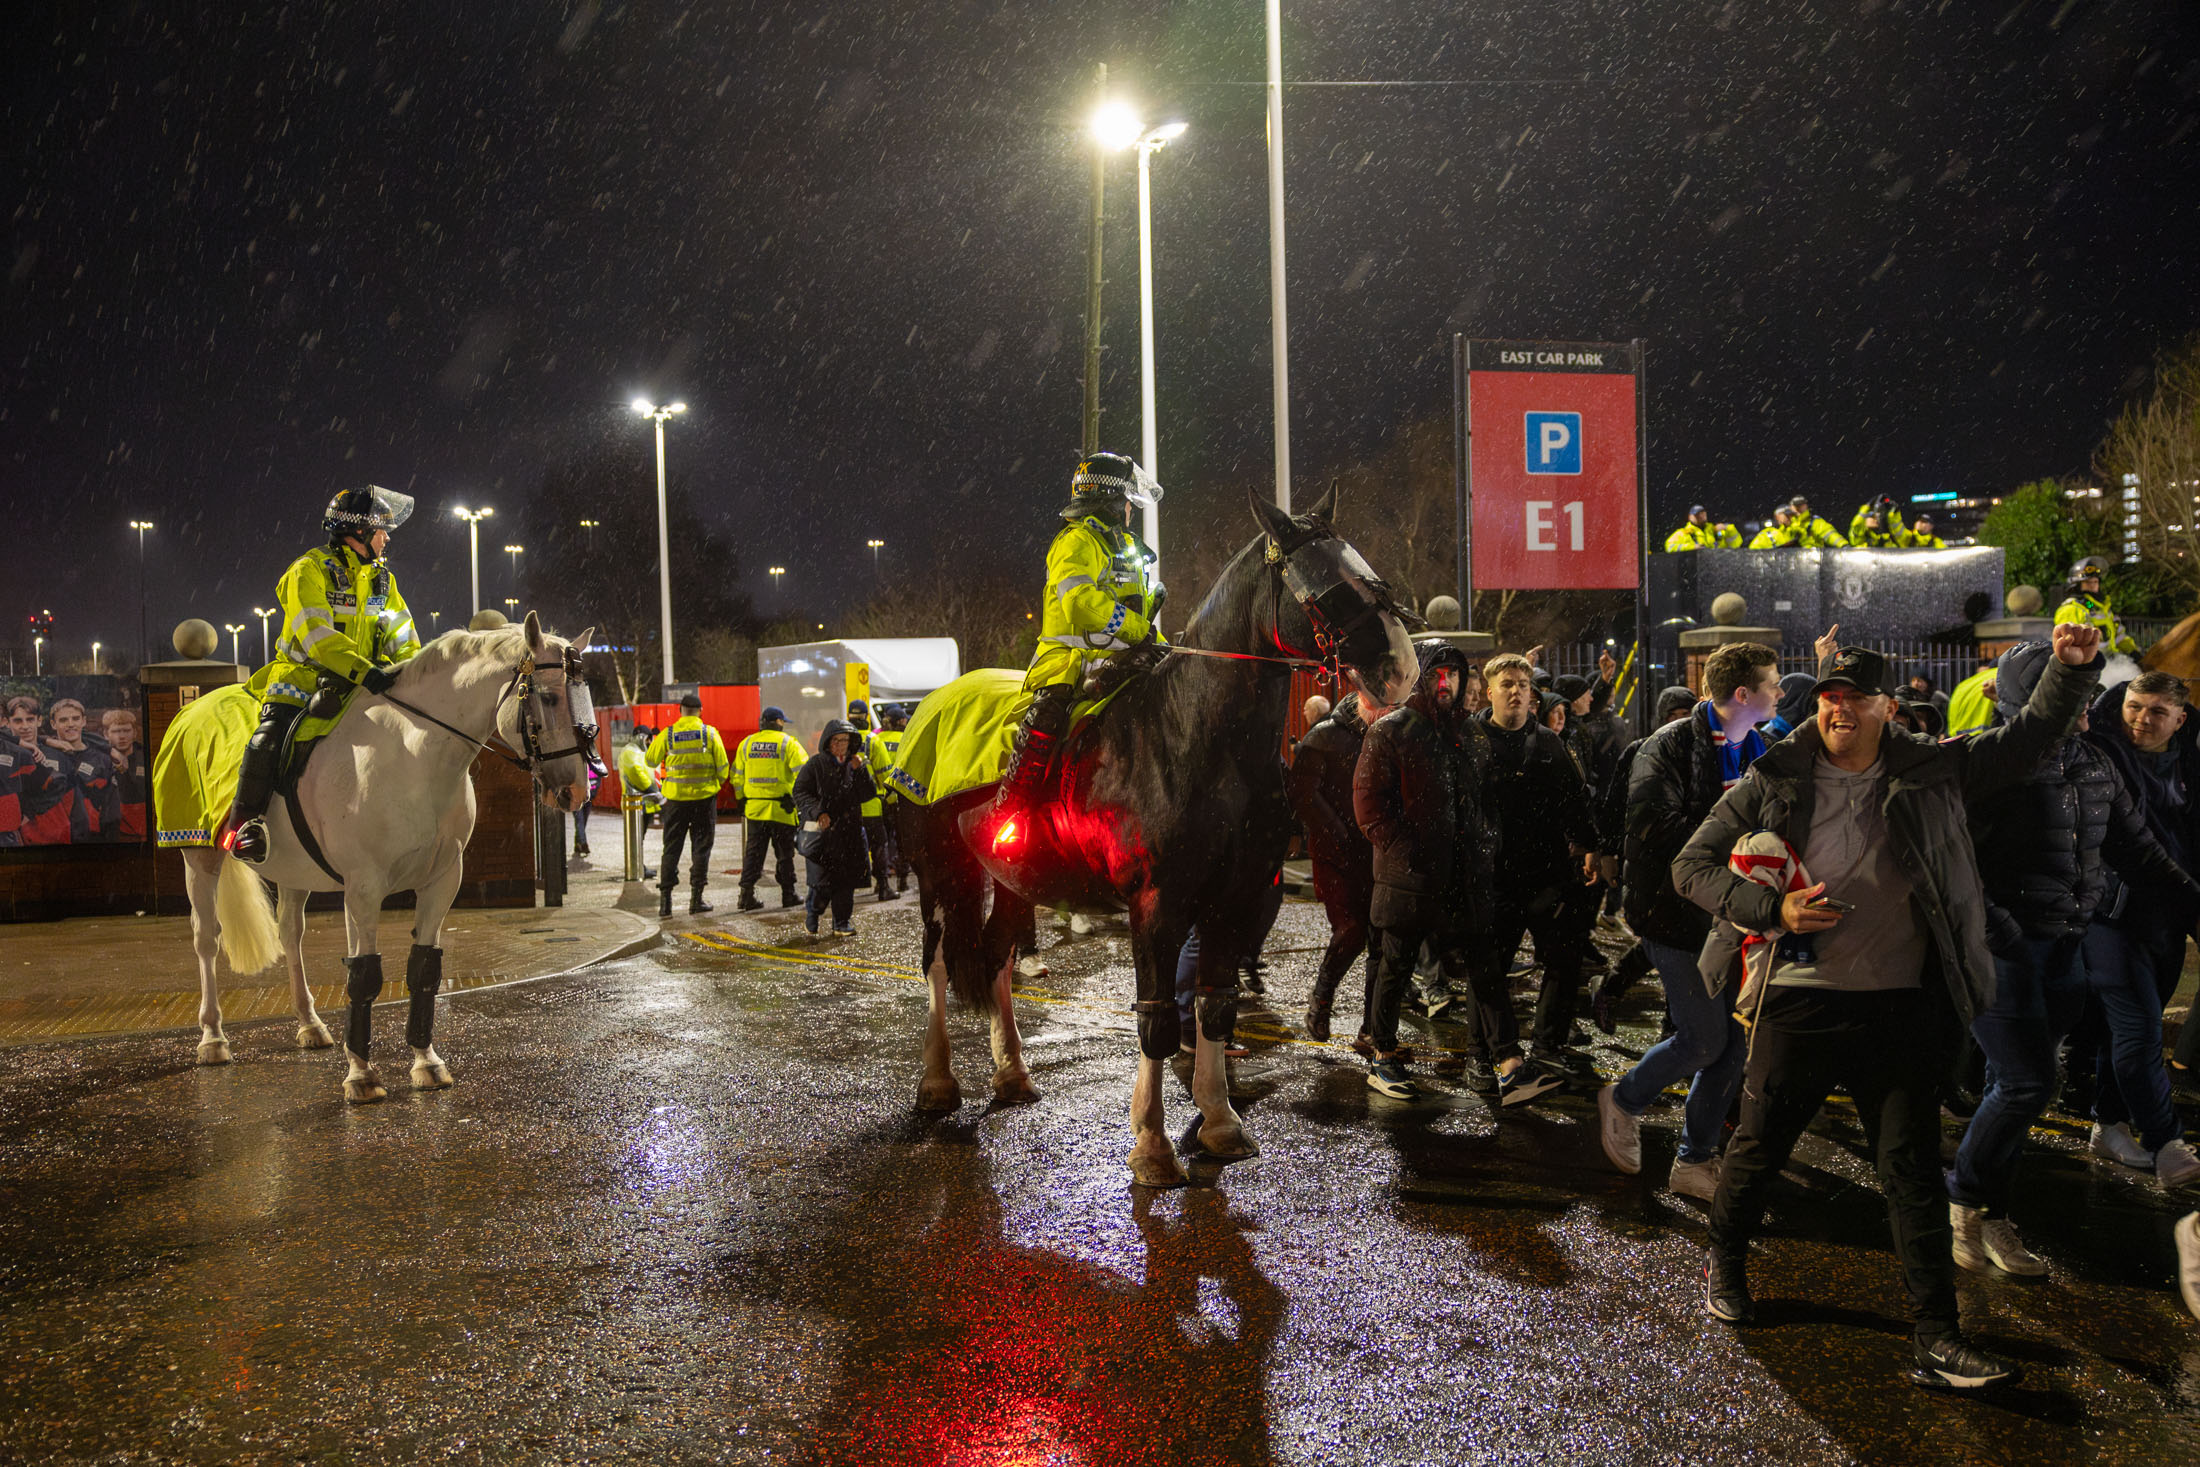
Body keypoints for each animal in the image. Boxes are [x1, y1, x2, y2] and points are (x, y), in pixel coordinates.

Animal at [184, 615, 594, 1108]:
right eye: (548, 697)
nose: (575, 792)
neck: (414, 756)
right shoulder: (364, 887)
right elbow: (364, 975)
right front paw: (361, 1074)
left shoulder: (442, 881)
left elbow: (424, 969)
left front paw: (426, 1062)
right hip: (198, 856)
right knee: (206, 939)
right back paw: (212, 1037)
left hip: (293, 871)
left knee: (290, 933)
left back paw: (309, 1024)